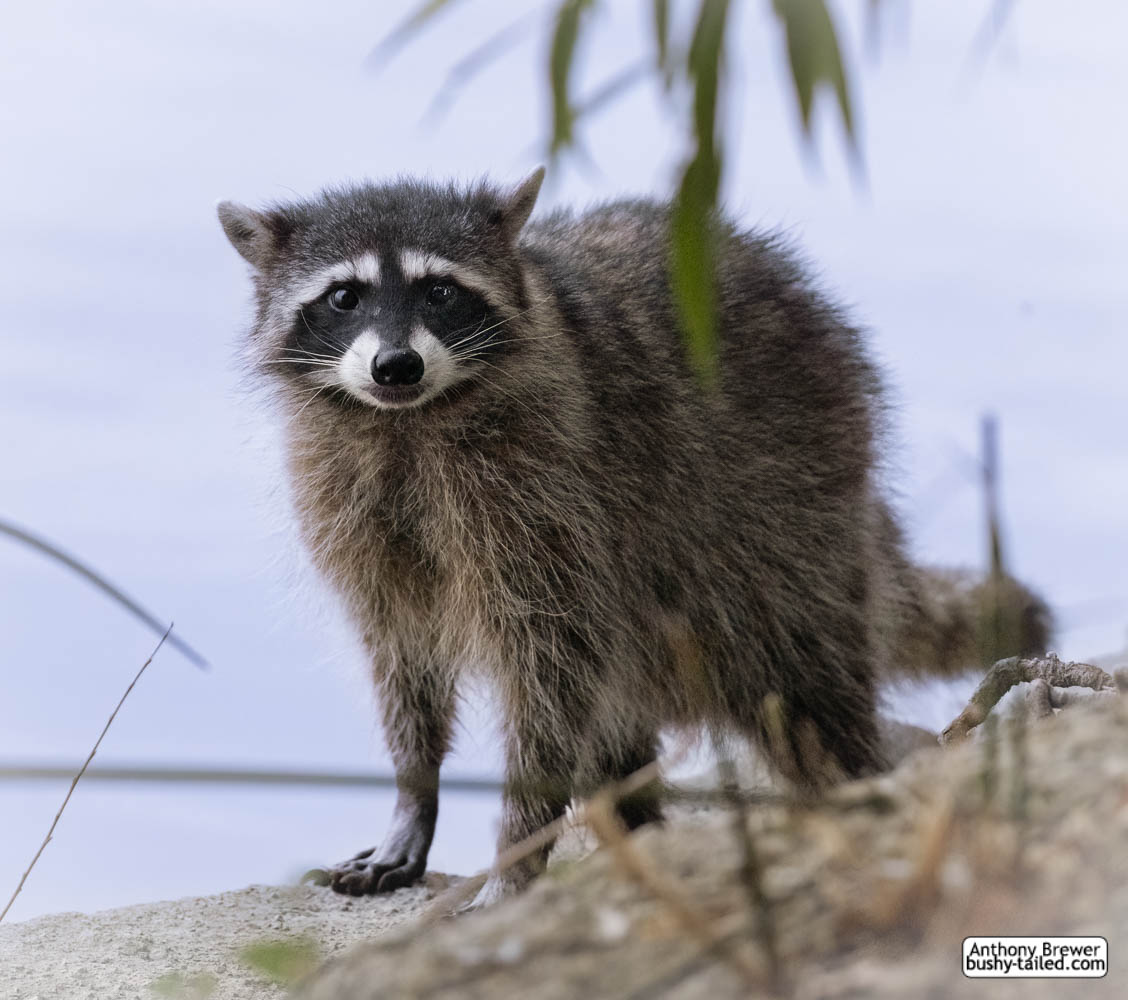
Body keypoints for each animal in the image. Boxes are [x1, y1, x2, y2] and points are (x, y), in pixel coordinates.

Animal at [217, 169, 1045, 904]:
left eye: (440, 291)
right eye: (344, 296)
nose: (397, 365)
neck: (406, 422)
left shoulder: (549, 493)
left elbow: (549, 665)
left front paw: (520, 845)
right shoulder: (352, 504)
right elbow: (403, 656)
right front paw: (415, 793)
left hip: (786, 497)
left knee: (803, 681)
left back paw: (847, 784)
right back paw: (637, 836)